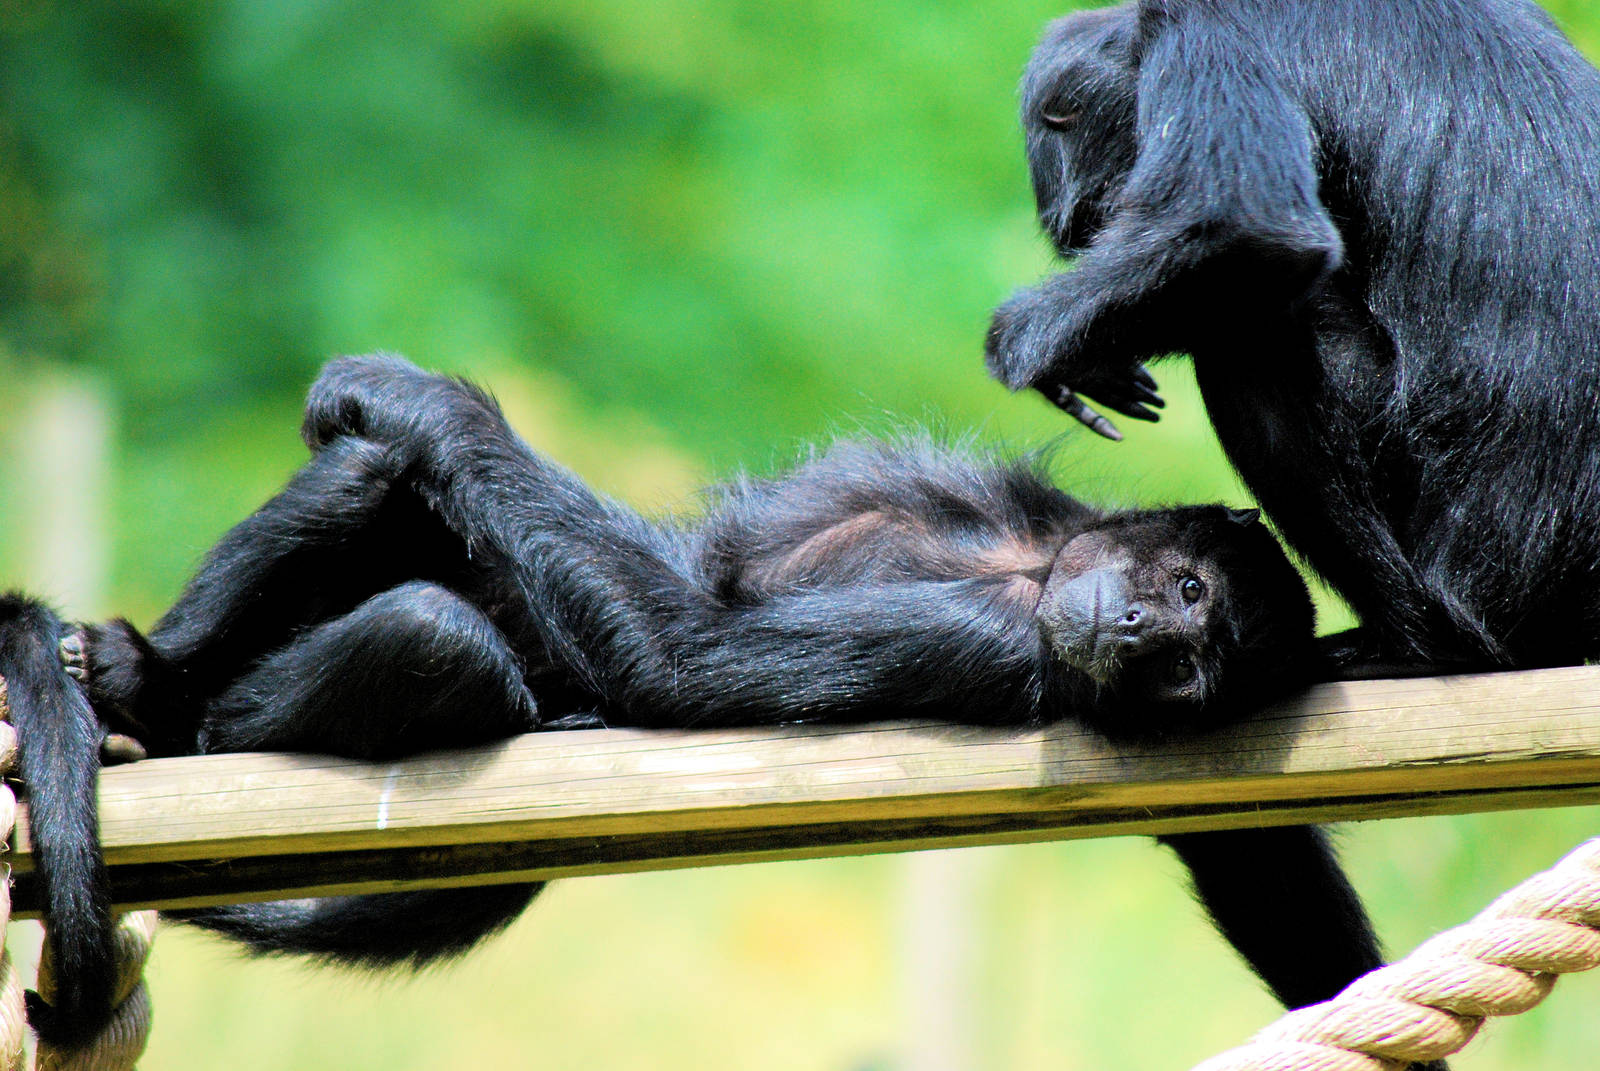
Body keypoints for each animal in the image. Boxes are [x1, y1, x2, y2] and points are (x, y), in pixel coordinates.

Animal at [0, 354, 1343, 1045]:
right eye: (1182, 594)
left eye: (1196, 663)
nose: (1146, 636)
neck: (1027, 564)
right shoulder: (991, 502)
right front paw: (395, 395)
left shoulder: (992, 642)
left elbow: (685, 650)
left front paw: (434, 399)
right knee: (378, 480)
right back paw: (141, 678)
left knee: (433, 633)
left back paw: (168, 716)